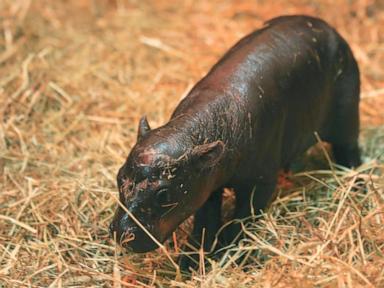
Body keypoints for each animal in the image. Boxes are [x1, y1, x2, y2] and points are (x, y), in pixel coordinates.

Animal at [109, 15, 362, 268]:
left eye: (164, 194)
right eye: (119, 176)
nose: (122, 233)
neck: (195, 131)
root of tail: (330, 28)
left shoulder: (260, 182)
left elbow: (243, 218)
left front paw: (228, 255)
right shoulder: (207, 183)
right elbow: (205, 221)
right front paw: (191, 262)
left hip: (347, 118)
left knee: (349, 151)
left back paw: (357, 186)